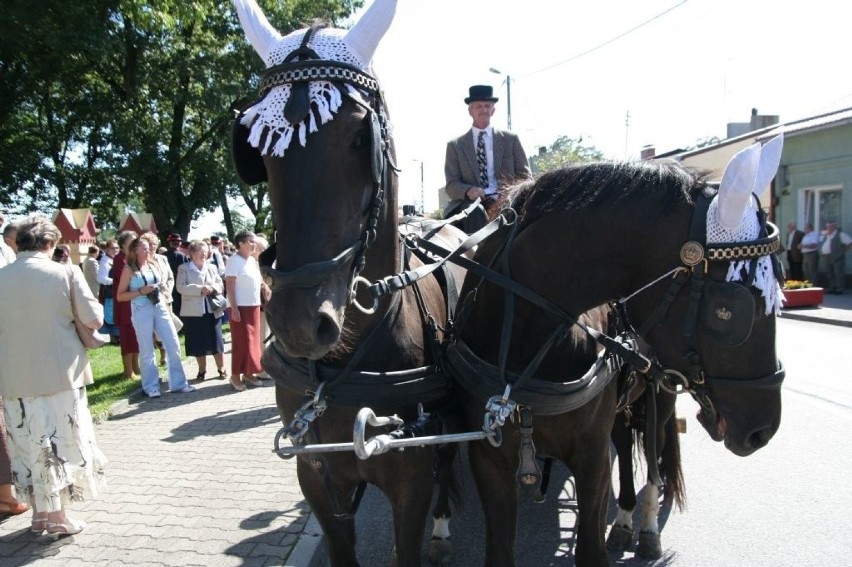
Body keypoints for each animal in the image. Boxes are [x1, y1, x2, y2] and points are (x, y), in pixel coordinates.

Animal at [230, 2, 462, 564]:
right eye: (257, 149)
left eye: (361, 138)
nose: (297, 323)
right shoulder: (316, 473)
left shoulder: (410, 478)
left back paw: (444, 524)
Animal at [446, 139, 784, 567]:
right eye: (729, 310)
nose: (763, 430)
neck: (526, 345)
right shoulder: (490, 462)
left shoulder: (592, 458)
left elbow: (592, 546)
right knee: (624, 444)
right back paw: (623, 521)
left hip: (660, 392)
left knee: (652, 454)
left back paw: (646, 529)